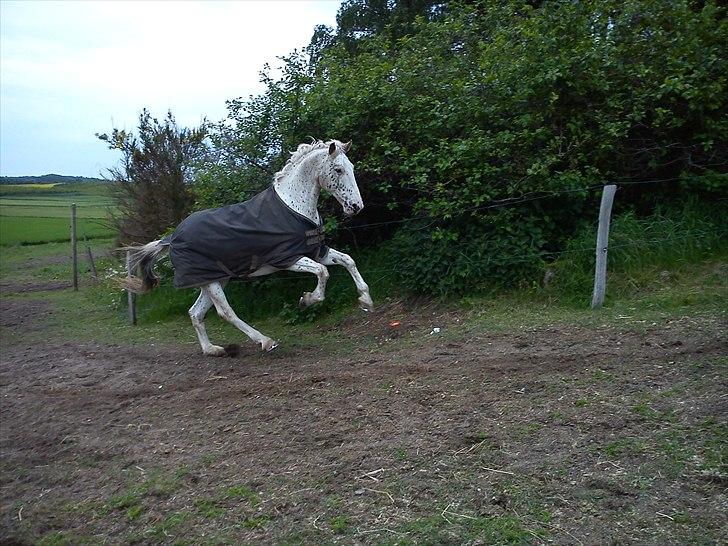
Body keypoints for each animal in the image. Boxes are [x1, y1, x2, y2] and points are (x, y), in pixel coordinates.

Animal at [123, 138, 372, 354]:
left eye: (351, 167)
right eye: (338, 169)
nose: (356, 206)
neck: (294, 206)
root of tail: (171, 239)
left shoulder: (318, 252)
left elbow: (348, 260)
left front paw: (365, 301)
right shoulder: (287, 258)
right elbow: (323, 272)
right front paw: (307, 300)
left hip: (213, 279)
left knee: (195, 313)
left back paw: (212, 350)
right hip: (211, 282)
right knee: (225, 312)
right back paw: (265, 341)